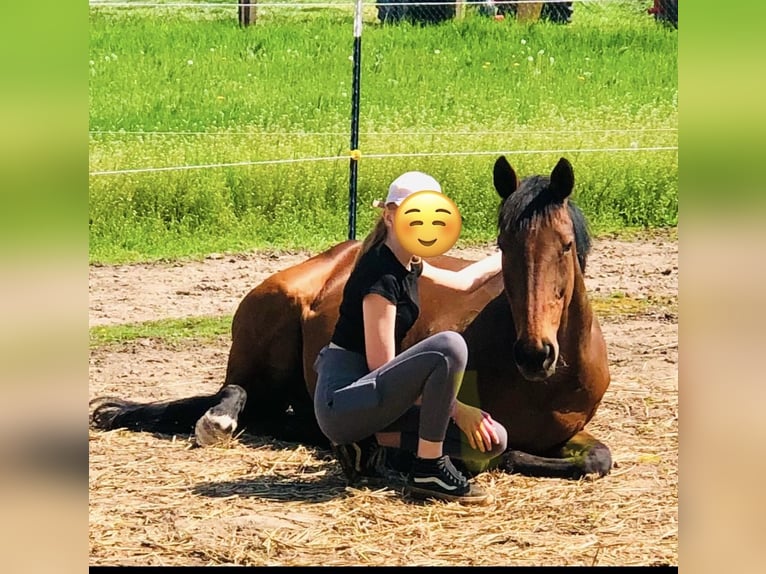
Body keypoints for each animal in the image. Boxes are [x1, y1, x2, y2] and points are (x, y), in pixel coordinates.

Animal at [91, 158, 616, 482]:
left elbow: (597, 458)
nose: (534, 353)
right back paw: (214, 421)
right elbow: (488, 448)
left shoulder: (570, 434)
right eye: (504, 245)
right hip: (267, 333)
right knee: (233, 392)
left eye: (565, 246)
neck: (546, 383)